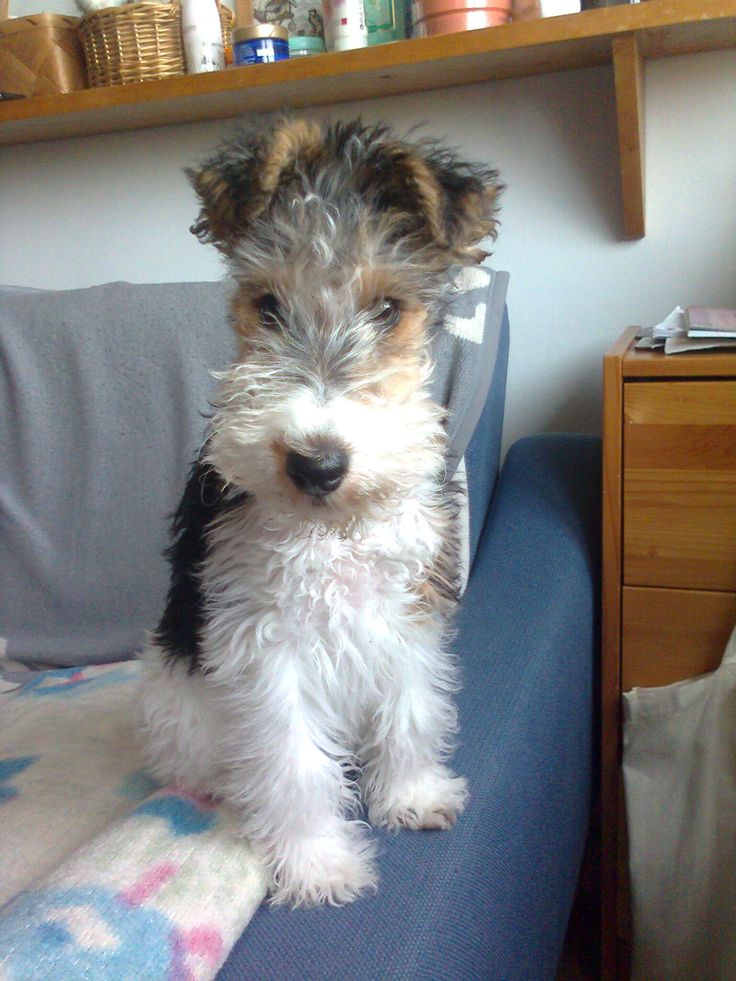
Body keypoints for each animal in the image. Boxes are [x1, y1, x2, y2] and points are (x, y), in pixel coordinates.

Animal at [139, 118, 500, 908]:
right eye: (268, 303)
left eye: (388, 309)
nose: (318, 464)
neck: (335, 533)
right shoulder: (266, 645)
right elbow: (296, 766)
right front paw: (317, 866)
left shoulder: (406, 613)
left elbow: (411, 713)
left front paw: (412, 796)